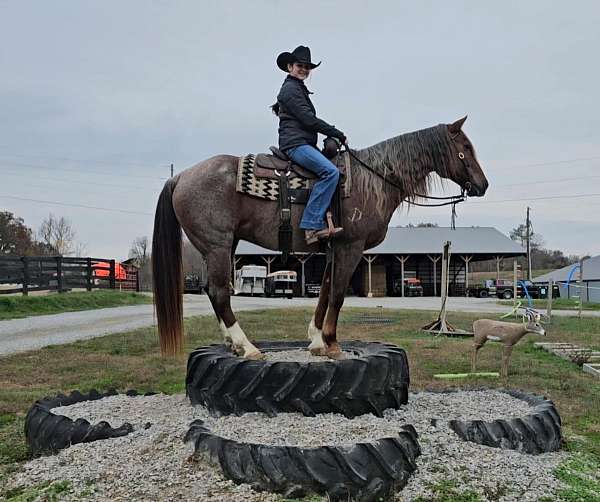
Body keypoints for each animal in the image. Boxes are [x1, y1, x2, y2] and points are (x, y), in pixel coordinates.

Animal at [150, 116, 488, 360]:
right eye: (465, 147)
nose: (483, 185)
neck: (371, 180)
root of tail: (180, 176)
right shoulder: (351, 247)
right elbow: (337, 294)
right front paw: (332, 343)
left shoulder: (333, 249)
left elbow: (324, 291)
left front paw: (315, 340)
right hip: (218, 245)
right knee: (220, 292)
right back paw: (247, 347)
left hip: (220, 246)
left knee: (212, 291)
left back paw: (232, 344)